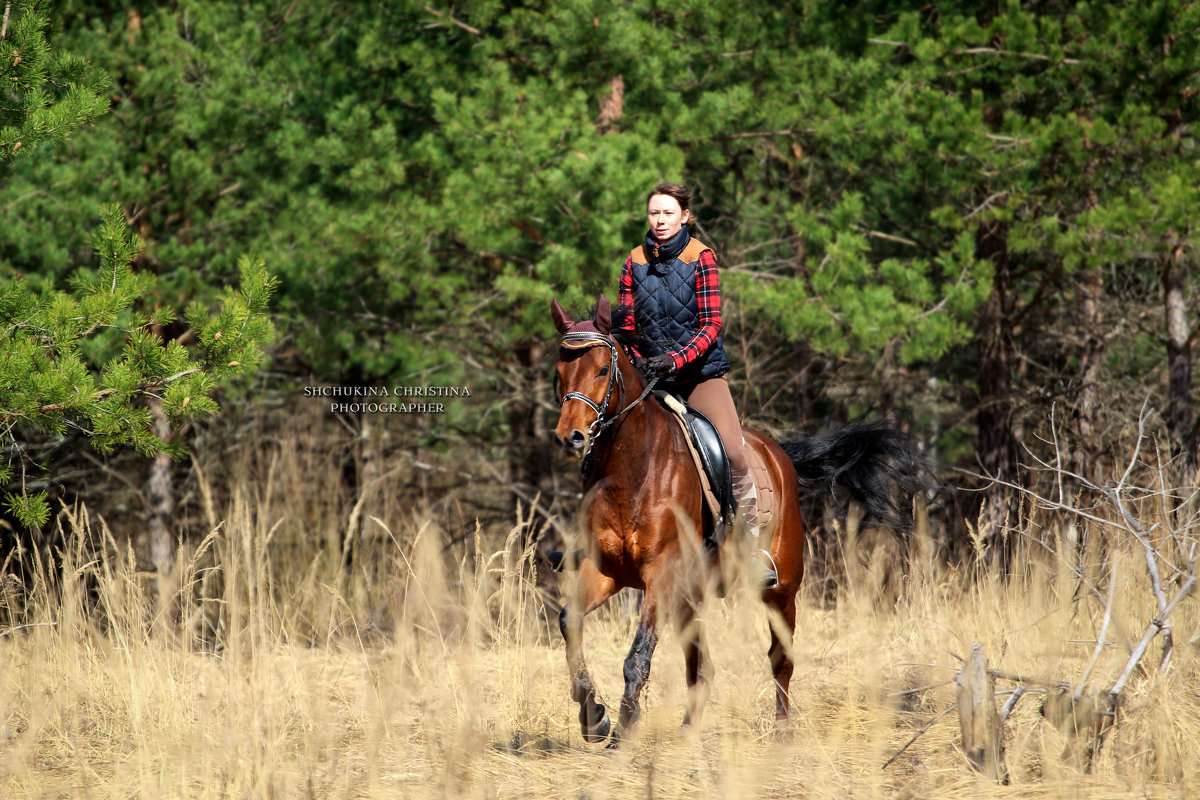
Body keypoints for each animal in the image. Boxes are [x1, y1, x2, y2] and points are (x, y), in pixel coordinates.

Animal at [549, 293, 912, 743]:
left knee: (780, 658)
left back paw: (782, 730)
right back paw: (689, 731)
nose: (570, 437)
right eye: (559, 373)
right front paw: (594, 716)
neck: (631, 469)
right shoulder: (606, 571)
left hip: (782, 588)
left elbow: (638, 654)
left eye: (602, 369)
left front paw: (625, 726)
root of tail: (780, 454)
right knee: (701, 665)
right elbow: (570, 622)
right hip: (692, 595)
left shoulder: (661, 574)